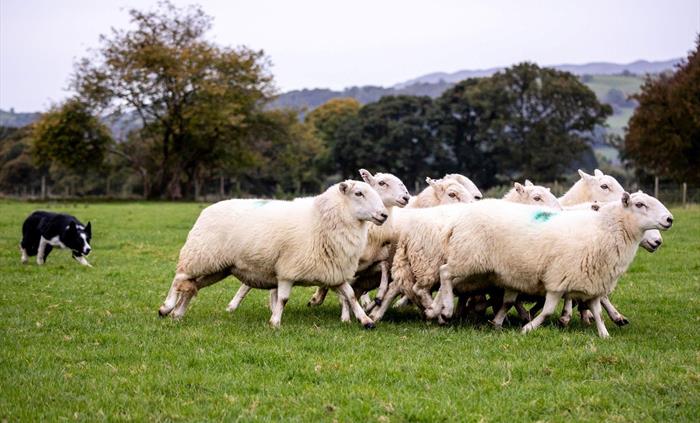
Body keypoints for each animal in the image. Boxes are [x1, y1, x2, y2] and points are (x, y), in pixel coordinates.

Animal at [157, 180, 389, 328]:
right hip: (200, 255)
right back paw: (166, 307)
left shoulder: (334, 271)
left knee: (192, 286)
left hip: (219, 268)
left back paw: (177, 314)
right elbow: (284, 298)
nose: (384, 215)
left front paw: (366, 321)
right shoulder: (288, 270)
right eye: (358, 193)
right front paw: (275, 322)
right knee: (179, 277)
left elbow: (350, 295)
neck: (320, 219)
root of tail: (207, 210)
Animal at [368, 180, 561, 322]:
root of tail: (408, 233)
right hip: (428, 264)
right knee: (417, 289)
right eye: (537, 197)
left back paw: (378, 314)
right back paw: (435, 313)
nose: (561, 210)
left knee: (397, 287)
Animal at [428, 191, 673, 337]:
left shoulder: (593, 281)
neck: (601, 229)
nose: (670, 219)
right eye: (640, 204)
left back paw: (439, 310)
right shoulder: (558, 278)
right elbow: (547, 310)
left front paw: (604, 333)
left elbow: (597, 309)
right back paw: (445, 309)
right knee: (445, 273)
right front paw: (529, 327)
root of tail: (458, 220)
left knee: (449, 280)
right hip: (469, 257)